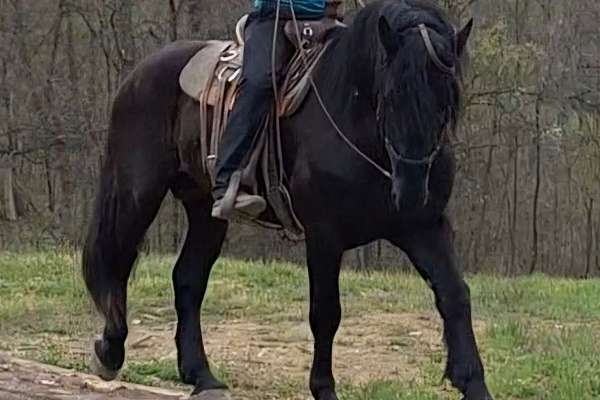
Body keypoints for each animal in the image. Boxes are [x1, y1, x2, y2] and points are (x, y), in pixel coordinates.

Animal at [83, 0, 492, 400]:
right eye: (390, 97)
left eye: (447, 100)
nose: (410, 192)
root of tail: (140, 73)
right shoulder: (325, 235)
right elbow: (326, 312)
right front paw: (323, 388)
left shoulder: (423, 226)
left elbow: (454, 294)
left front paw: (472, 382)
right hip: (138, 193)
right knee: (118, 261)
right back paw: (110, 352)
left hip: (206, 210)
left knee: (188, 278)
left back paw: (202, 376)